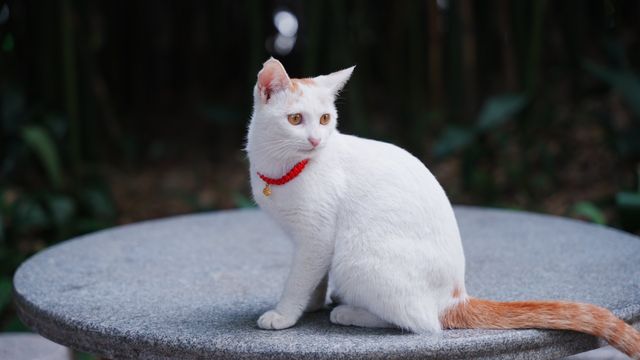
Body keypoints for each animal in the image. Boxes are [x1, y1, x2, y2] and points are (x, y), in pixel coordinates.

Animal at [244, 57, 640, 358]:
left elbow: (299, 279)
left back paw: (349, 311)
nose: (316, 140)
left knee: (422, 322)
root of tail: (456, 296)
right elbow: (314, 280)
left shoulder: (318, 237)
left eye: (325, 119)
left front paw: (284, 314)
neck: (285, 168)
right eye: (296, 119)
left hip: (354, 257)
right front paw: (311, 304)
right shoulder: (312, 242)